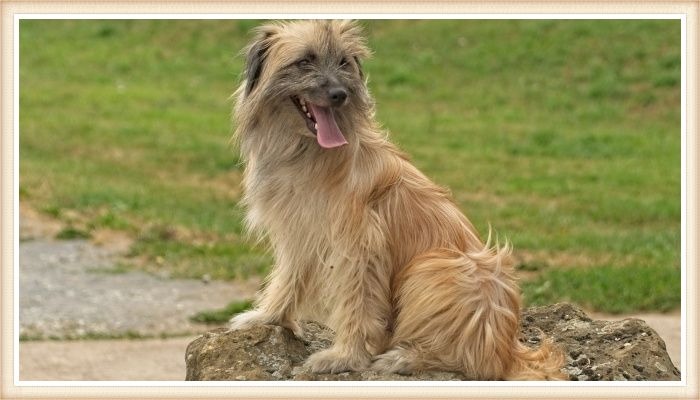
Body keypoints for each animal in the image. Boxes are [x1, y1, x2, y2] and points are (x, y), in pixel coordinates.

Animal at [227, 19, 568, 382]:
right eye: (305, 60)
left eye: (344, 62)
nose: (339, 94)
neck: (307, 151)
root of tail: (508, 349)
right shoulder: (299, 231)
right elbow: (288, 279)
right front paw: (268, 316)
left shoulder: (360, 245)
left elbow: (357, 301)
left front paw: (345, 356)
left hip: (438, 267)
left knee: (474, 360)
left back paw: (405, 357)